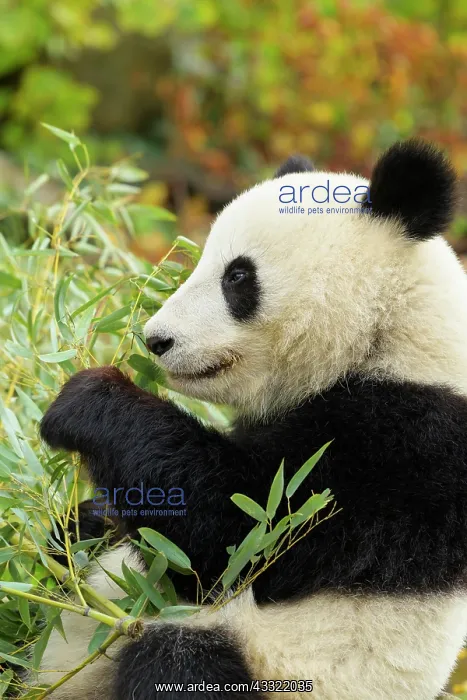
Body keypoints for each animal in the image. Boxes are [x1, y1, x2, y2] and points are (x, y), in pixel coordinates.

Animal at [36, 139, 467, 700]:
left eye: (237, 276)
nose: (156, 340)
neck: (390, 331)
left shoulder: (400, 448)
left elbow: (236, 533)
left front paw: (86, 399)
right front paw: (86, 519)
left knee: (178, 661)